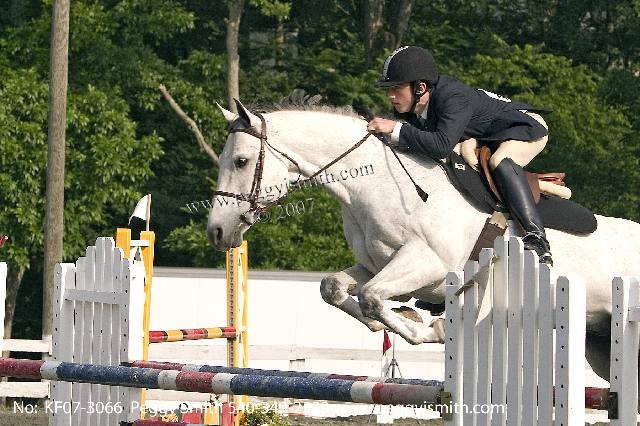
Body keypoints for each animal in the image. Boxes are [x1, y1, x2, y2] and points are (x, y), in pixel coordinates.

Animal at [207, 99, 640, 383]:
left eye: (241, 161)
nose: (217, 231)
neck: (376, 184)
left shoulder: (429, 265)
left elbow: (374, 296)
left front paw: (431, 327)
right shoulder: (376, 264)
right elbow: (334, 288)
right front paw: (392, 319)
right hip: (601, 343)